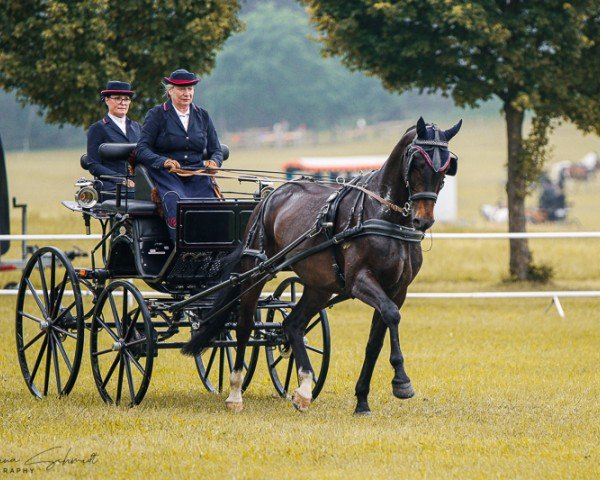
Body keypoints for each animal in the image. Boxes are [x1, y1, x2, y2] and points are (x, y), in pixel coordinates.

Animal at [183, 115, 464, 412]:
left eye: (446, 166)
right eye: (418, 162)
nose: (424, 220)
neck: (385, 215)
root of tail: (271, 195)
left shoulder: (397, 289)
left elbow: (375, 340)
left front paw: (362, 400)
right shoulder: (360, 281)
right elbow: (391, 315)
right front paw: (401, 382)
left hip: (319, 286)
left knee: (292, 325)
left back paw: (304, 389)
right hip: (254, 271)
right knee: (244, 325)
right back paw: (236, 392)